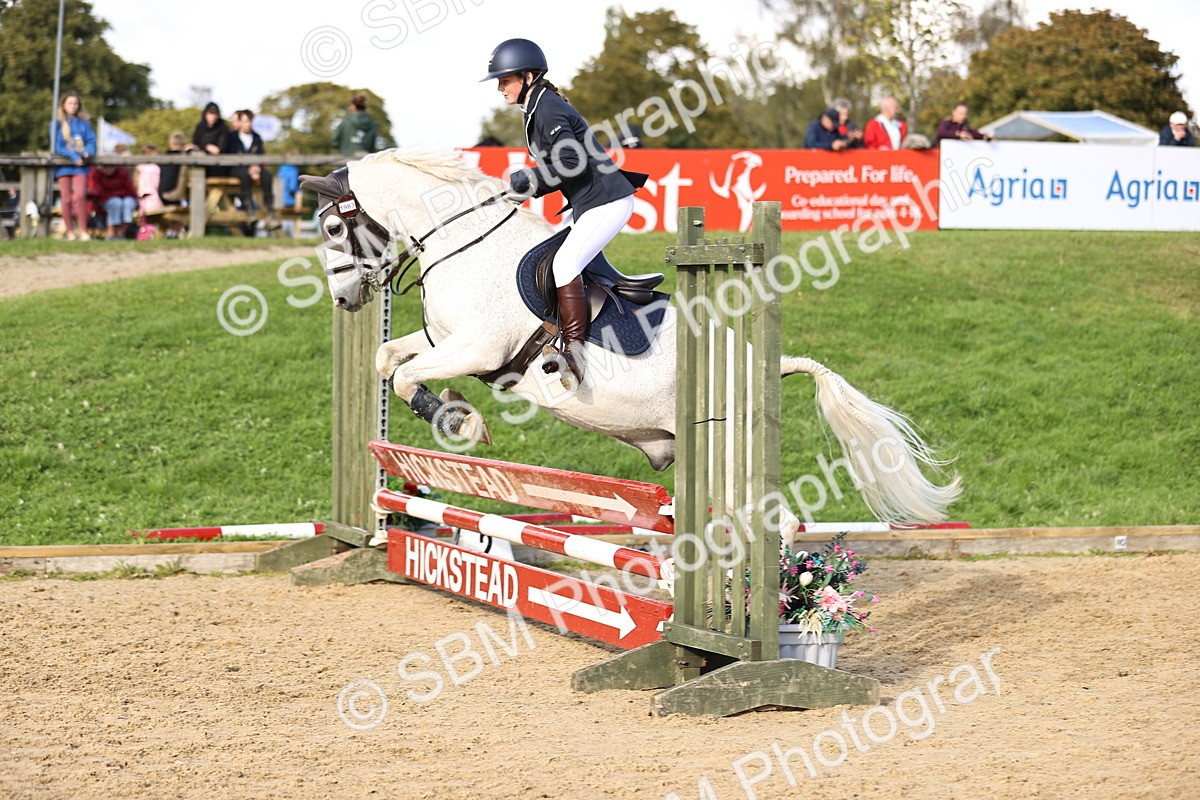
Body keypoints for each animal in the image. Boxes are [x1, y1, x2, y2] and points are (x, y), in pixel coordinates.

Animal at [300, 148, 961, 525]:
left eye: (333, 228)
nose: (344, 299)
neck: (460, 241)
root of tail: (767, 364)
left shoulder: (477, 349)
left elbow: (406, 375)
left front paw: (462, 423)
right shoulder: (447, 344)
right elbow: (388, 358)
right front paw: (452, 411)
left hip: (727, 453)